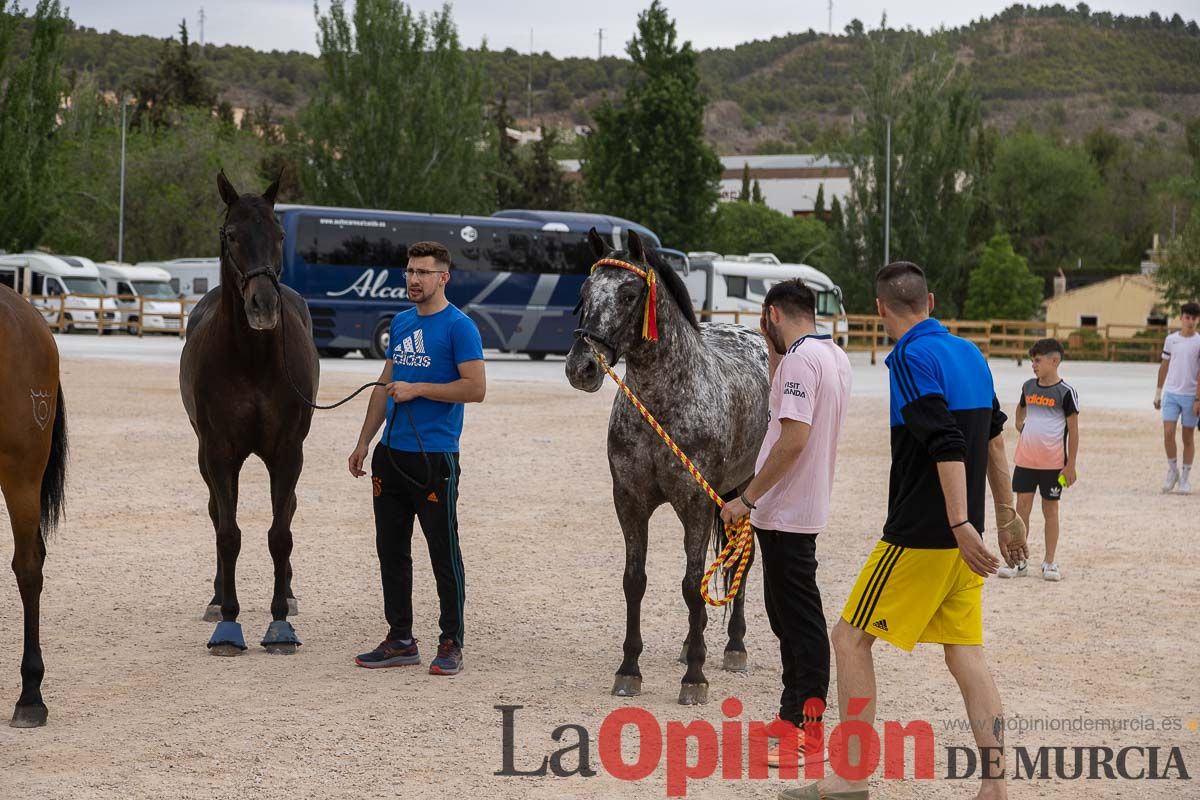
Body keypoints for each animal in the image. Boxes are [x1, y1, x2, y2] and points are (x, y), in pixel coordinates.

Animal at [178, 172, 319, 652]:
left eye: (279, 235)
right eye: (232, 234)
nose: (263, 306)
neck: (253, 360)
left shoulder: (288, 452)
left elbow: (280, 533)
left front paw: (279, 622)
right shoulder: (219, 453)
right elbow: (228, 532)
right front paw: (228, 619)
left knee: (287, 511)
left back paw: (289, 594)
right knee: (217, 515)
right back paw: (217, 598)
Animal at [564, 227, 768, 705]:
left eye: (629, 294)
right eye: (584, 292)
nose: (581, 367)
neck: (665, 402)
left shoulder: (695, 504)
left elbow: (692, 586)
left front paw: (695, 678)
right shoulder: (630, 502)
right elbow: (634, 581)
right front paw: (629, 670)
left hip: (741, 492)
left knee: (741, 563)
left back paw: (733, 647)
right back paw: (694, 643)